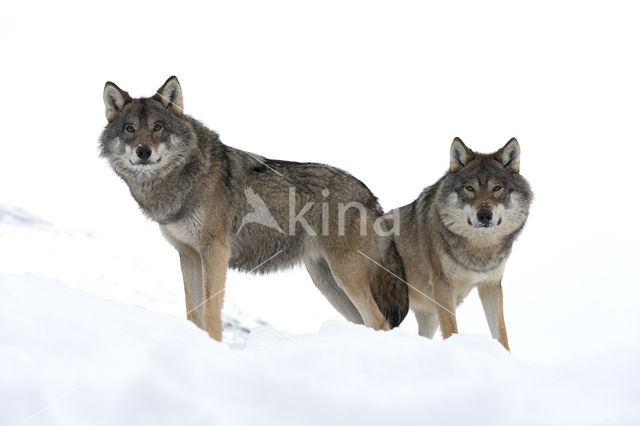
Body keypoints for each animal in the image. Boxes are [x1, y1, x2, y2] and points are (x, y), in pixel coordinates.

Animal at [97, 76, 408, 342]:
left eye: (158, 127)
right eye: (129, 129)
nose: (143, 151)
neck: (179, 182)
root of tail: (372, 198)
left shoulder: (215, 252)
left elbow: (211, 313)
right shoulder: (188, 255)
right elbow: (193, 313)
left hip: (344, 276)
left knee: (379, 321)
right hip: (328, 282)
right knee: (366, 322)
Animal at [392, 138, 532, 352]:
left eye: (497, 188)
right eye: (470, 188)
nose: (484, 215)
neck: (479, 249)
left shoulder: (491, 285)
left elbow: (501, 333)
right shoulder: (443, 285)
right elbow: (451, 328)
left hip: (429, 318)